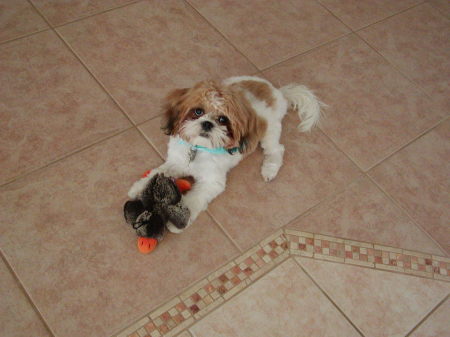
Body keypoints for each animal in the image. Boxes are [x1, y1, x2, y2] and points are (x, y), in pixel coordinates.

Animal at [128, 75, 322, 234]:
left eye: (223, 119)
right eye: (197, 111)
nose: (207, 124)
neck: (200, 148)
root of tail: (278, 92)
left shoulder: (212, 181)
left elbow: (194, 199)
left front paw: (180, 219)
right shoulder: (177, 161)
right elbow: (158, 172)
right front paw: (140, 187)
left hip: (269, 131)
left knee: (276, 149)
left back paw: (269, 170)